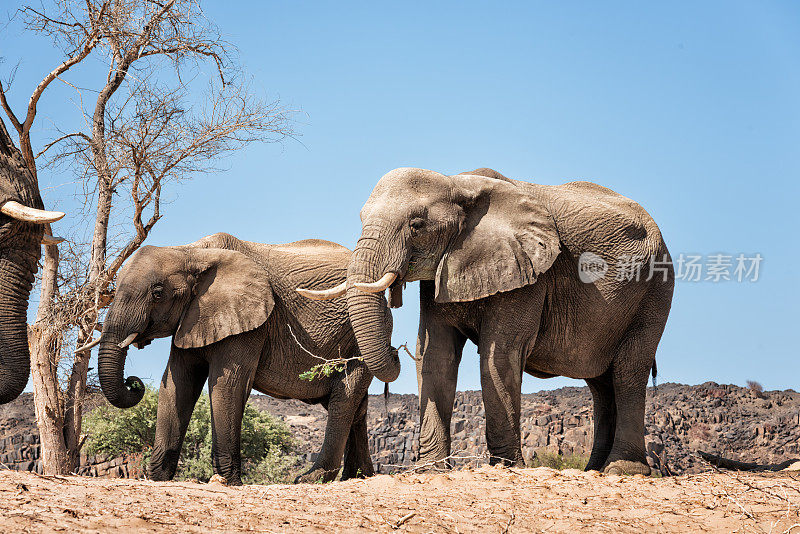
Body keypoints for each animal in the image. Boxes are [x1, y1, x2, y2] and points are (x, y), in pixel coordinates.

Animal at [92, 233, 396, 486]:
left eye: (157, 293)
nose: (133, 383)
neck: (191, 252)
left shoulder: (252, 322)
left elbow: (227, 384)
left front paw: (228, 482)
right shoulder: (191, 317)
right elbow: (178, 383)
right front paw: (157, 478)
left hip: (364, 331)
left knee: (344, 398)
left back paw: (313, 479)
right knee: (355, 405)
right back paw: (358, 477)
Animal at [300, 168, 676, 478]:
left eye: (417, 225)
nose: (396, 350)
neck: (457, 184)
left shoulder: (530, 272)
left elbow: (500, 354)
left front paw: (506, 467)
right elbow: (435, 355)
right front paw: (429, 471)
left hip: (654, 290)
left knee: (627, 372)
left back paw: (623, 470)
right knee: (600, 383)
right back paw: (594, 469)